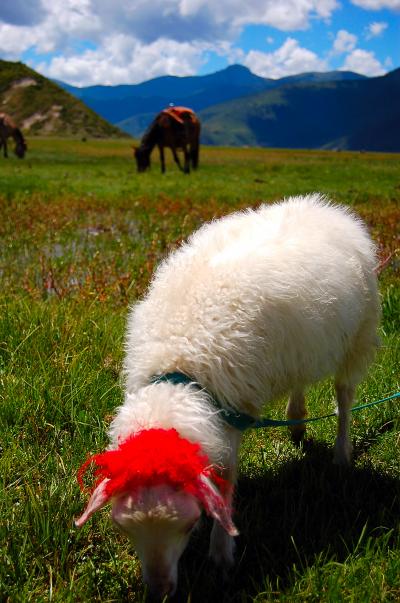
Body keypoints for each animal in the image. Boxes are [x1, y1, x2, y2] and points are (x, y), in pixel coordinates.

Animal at [76, 195, 380, 600]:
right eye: (124, 528)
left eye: (189, 526)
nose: (160, 593)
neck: (178, 373)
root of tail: (324, 206)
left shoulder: (233, 408)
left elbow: (227, 478)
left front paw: (221, 553)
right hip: (300, 343)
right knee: (299, 378)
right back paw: (296, 421)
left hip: (358, 335)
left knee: (344, 398)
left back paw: (341, 453)